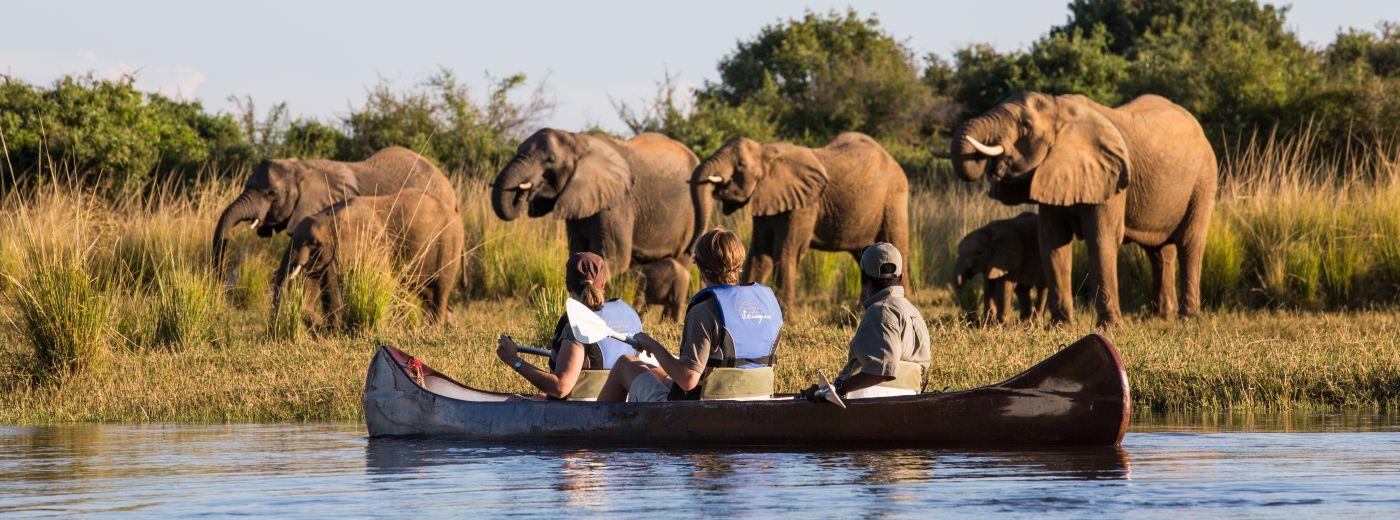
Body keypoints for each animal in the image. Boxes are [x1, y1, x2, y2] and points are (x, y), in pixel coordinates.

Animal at [285, 189, 464, 323]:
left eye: (314, 244)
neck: (330, 216)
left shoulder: (375, 244)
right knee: (426, 292)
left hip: (450, 244)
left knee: (441, 290)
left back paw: (434, 329)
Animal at [492, 130, 700, 318]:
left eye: (550, 160)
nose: (523, 193)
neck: (578, 141)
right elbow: (577, 251)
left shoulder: (617, 203)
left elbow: (615, 257)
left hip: (690, 218)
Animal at [686, 132, 907, 306]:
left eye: (741, 165)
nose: (689, 253)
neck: (766, 151)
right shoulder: (768, 199)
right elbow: (759, 253)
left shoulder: (804, 205)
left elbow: (785, 251)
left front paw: (788, 318)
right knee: (863, 254)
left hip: (894, 197)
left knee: (896, 244)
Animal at [940, 91, 1215, 323]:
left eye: (1025, 126)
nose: (990, 163)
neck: (1060, 110)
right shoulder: (1051, 171)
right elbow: (1052, 242)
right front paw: (1061, 326)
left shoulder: (1111, 179)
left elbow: (1101, 238)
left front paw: (1111, 327)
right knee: (1158, 252)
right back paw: (1160, 317)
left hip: (1203, 180)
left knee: (1189, 243)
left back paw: (1189, 318)